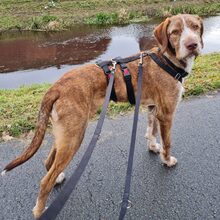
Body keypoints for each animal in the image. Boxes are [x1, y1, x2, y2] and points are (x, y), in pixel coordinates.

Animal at [2, 14, 204, 218]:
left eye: (195, 27)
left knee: (48, 161)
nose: (192, 45)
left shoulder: (154, 108)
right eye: (175, 32)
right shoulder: (167, 114)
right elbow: (168, 142)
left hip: (65, 134)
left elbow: (151, 130)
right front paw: (167, 160)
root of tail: (56, 87)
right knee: (45, 181)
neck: (167, 59)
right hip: (74, 136)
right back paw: (40, 210)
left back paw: (57, 178)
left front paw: (153, 146)